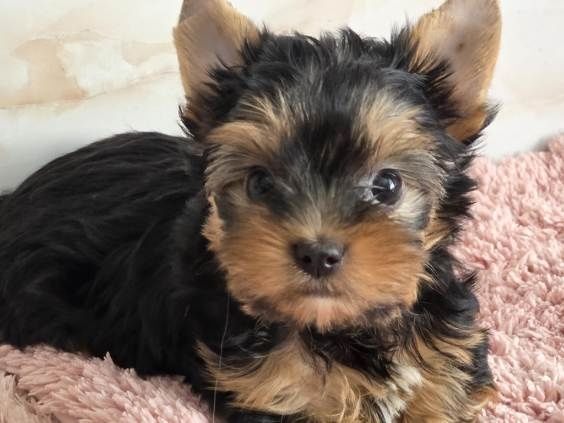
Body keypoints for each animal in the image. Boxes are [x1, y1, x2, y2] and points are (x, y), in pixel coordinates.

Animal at [0, 0, 501, 421]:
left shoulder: (449, 361)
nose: (318, 254)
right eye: (260, 182)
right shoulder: (275, 393)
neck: (338, 328)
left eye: (388, 185)